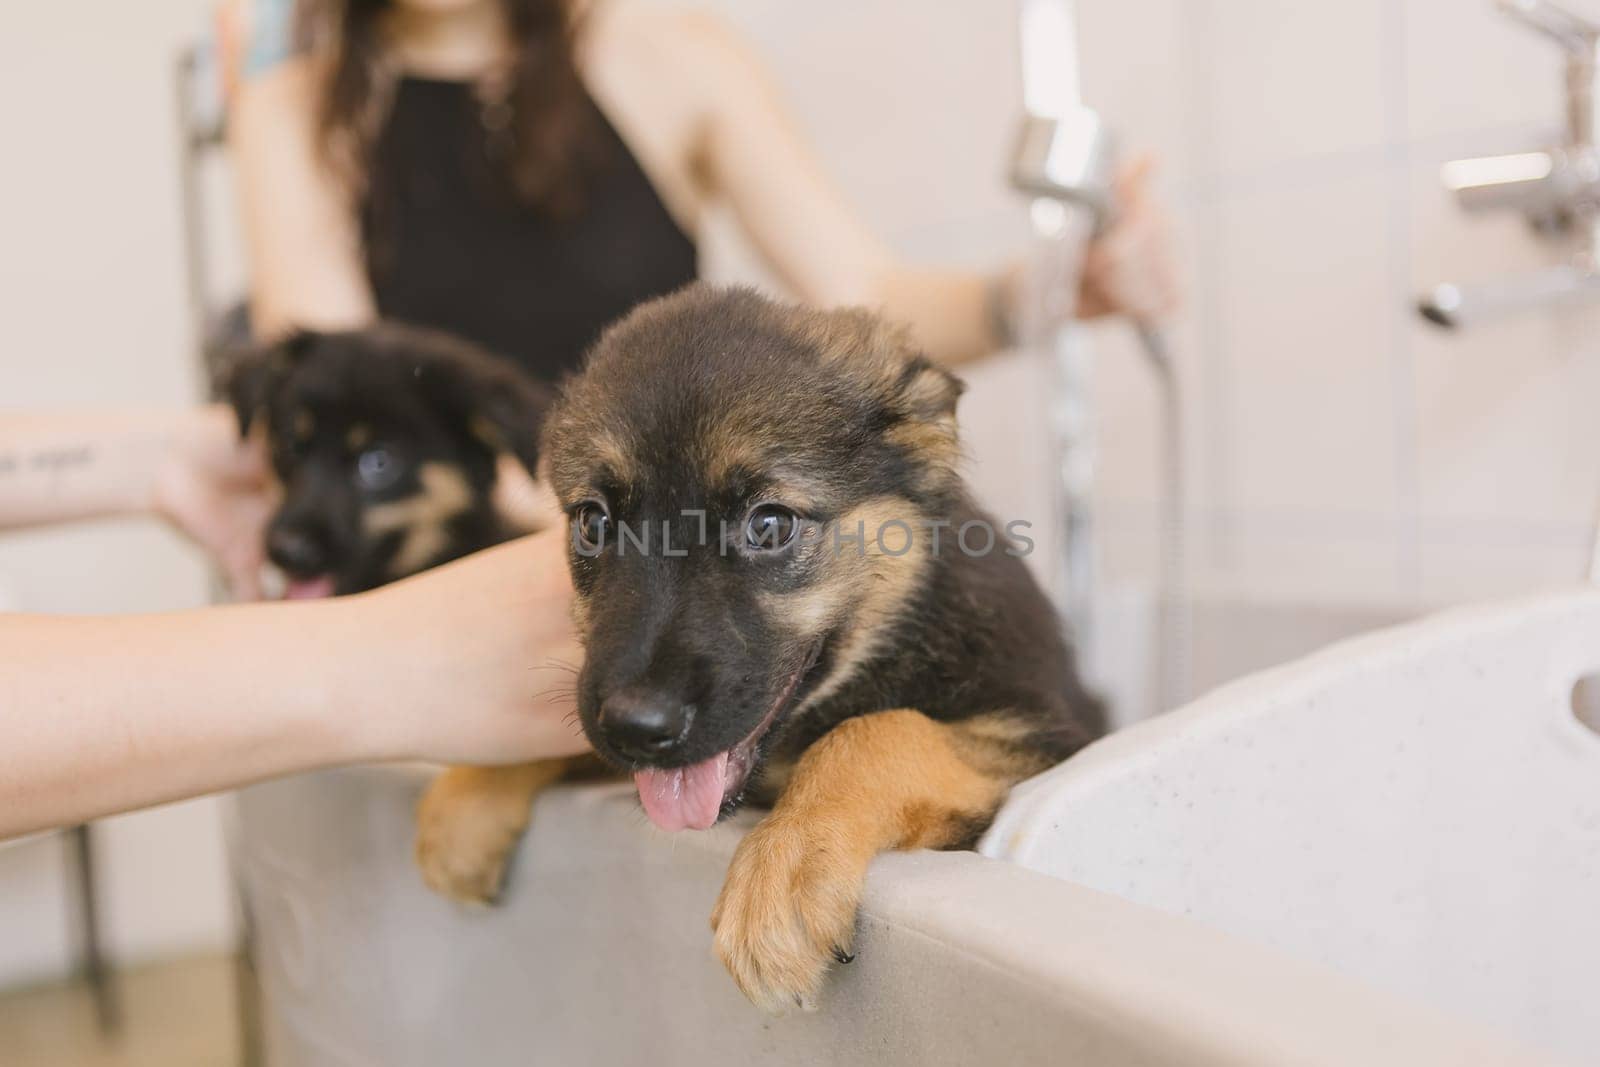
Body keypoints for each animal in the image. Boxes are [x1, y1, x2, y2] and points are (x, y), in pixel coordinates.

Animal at [419, 286, 1107, 1017]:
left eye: (769, 524)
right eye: (593, 522)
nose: (636, 727)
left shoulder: (1038, 734)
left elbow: (877, 731)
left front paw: (786, 867)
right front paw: (468, 797)